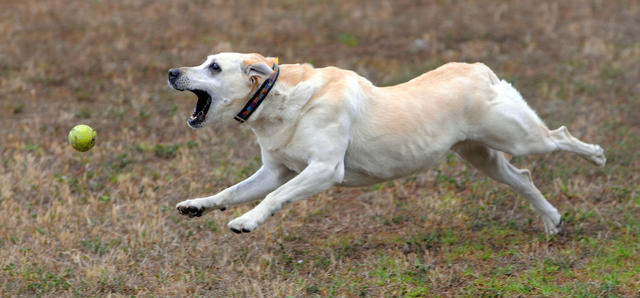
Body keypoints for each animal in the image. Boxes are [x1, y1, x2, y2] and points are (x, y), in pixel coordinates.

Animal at [166, 53, 604, 235]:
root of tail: (481, 70)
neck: (278, 100)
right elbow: (230, 192)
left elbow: (274, 199)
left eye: (214, 67)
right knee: (525, 176)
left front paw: (245, 222)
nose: (171, 72)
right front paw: (196, 206)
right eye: (205, 60)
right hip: (483, 157)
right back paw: (551, 221)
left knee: (560, 137)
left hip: (520, 137)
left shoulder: (324, 170)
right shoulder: (275, 170)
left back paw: (597, 157)